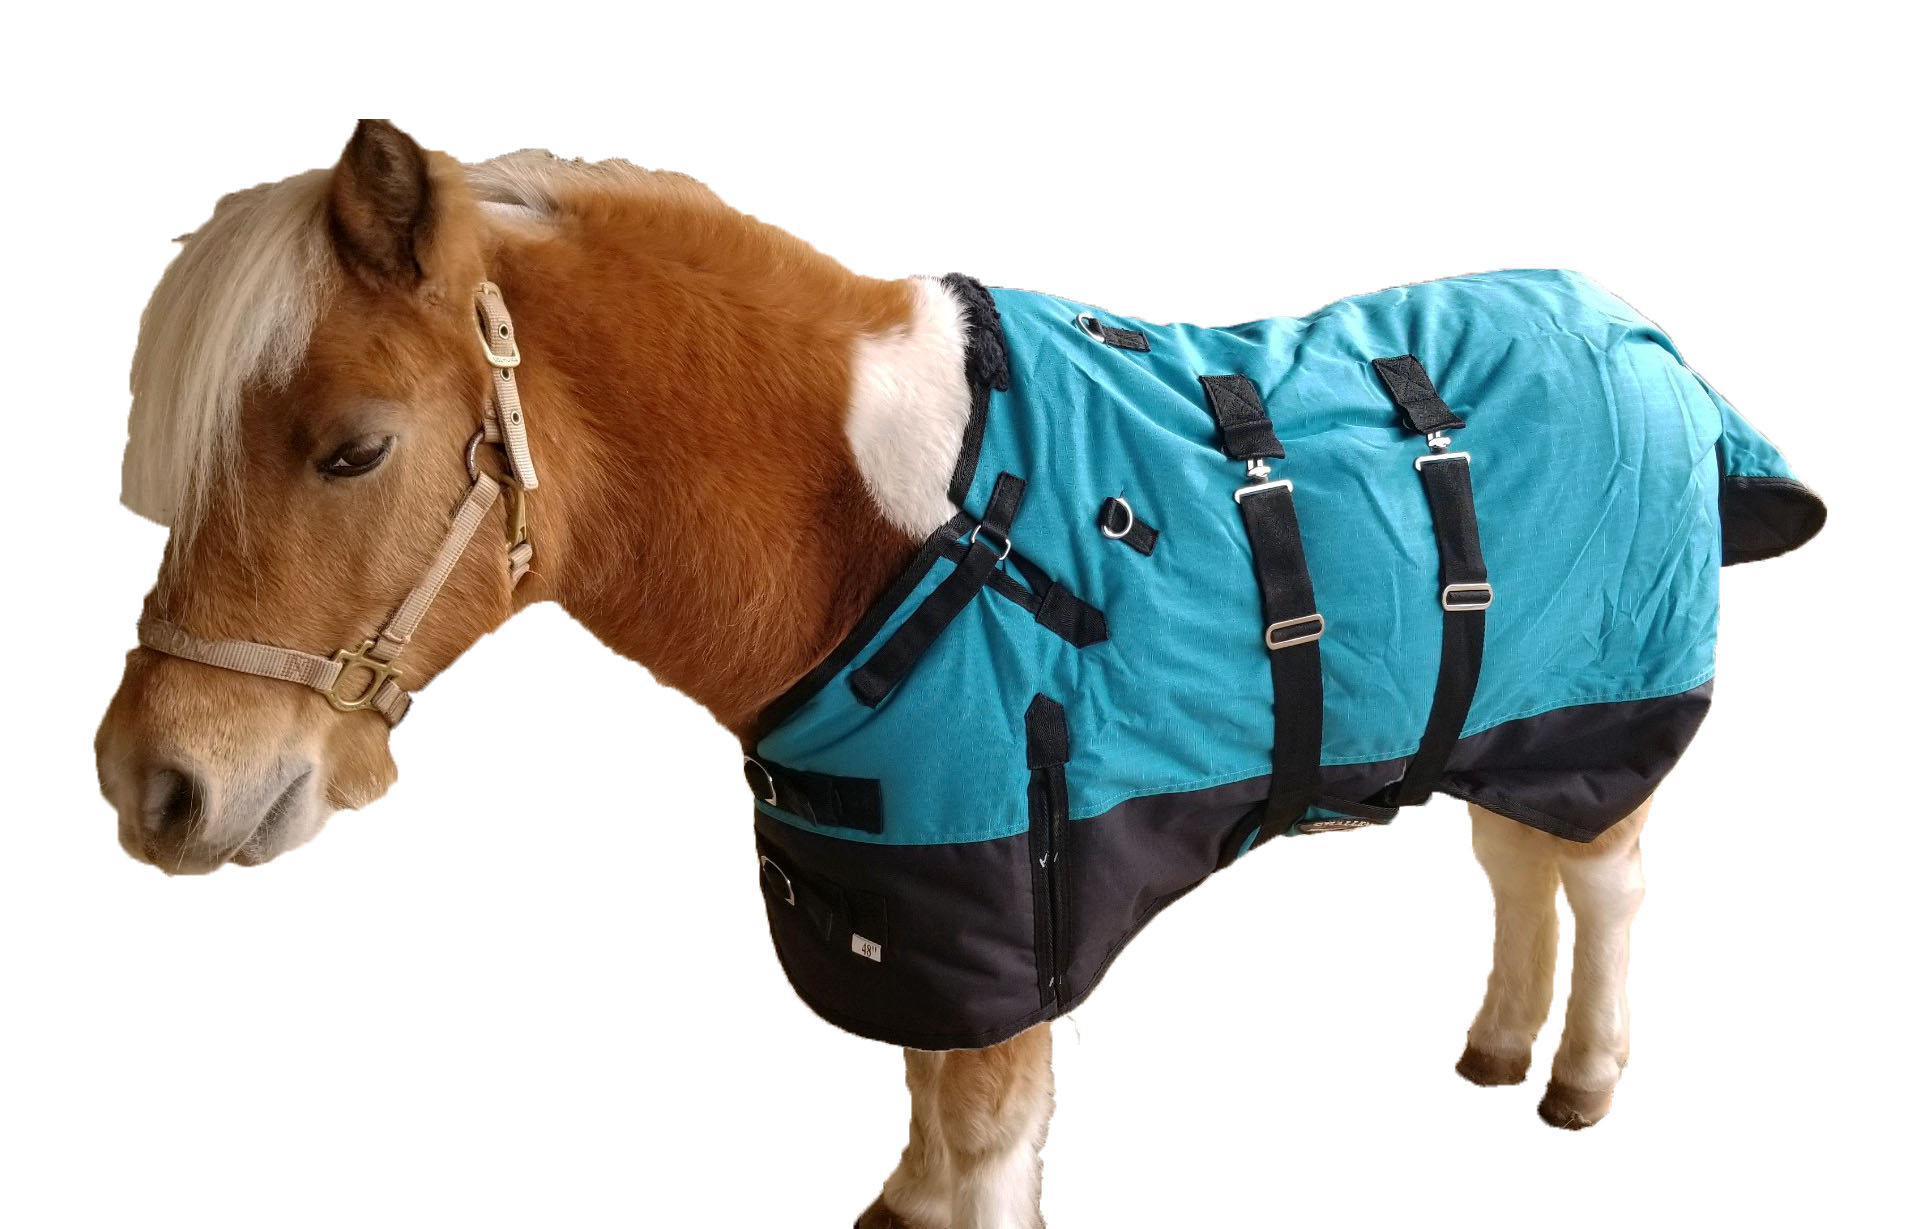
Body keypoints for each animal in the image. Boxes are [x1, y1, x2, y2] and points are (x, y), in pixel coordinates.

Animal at [95, 120, 1822, 1229]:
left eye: (353, 449)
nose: (152, 782)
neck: (901, 527)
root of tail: (1643, 336)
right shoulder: (920, 907)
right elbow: (929, 1115)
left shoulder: (1008, 903)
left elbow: (985, 1143)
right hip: (1503, 724)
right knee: (1514, 867)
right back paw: (1494, 1045)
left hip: (1596, 721)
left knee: (1599, 880)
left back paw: (1578, 1076)